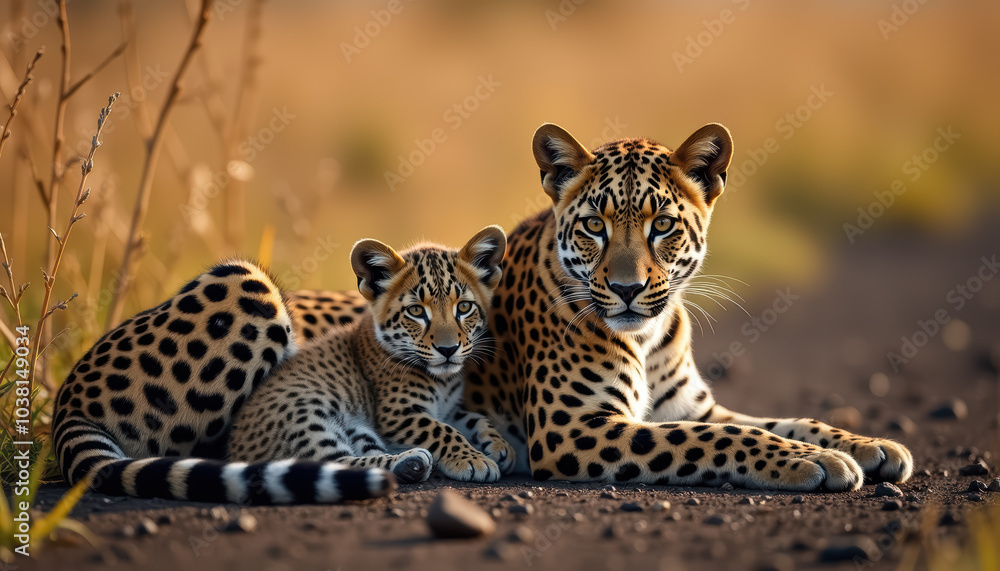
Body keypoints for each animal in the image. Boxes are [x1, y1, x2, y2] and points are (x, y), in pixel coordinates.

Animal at [228, 226, 516, 483]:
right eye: (416, 311)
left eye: (464, 307)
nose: (448, 350)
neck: (444, 381)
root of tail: (235, 449)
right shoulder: (398, 413)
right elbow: (442, 431)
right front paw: (473, 460)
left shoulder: (447, 409)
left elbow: (474, 418)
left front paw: (499, 446)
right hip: (304, 416)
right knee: (331, 463)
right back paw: (414, 461)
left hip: (358, 431)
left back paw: (410, 463)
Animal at [452, 122, 913, 491]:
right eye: (594, 225)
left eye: (663, 225)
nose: (626, 289)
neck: (645, 337)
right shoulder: (571, 426)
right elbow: (710, 437)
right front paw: (812, 459)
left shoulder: (695, 407)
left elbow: (781, 422)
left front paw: (868, 445)